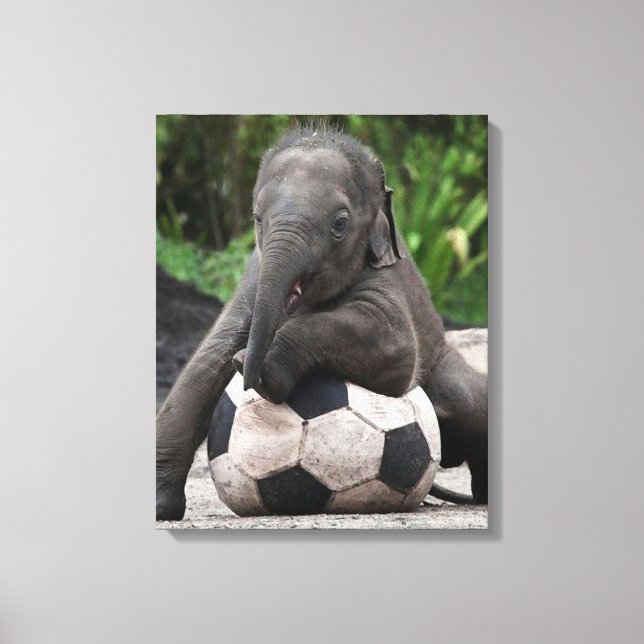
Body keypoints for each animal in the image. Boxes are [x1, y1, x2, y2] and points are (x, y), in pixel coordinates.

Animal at [156, 125, 488, 520]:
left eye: (340, 224)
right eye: (257, 219)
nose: (249, 373)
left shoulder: (386, 275)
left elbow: (398, 350)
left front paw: (260, 368)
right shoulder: (254, 276)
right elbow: (209, 358)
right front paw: (162, 507)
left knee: (472, 401)